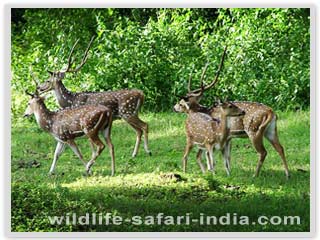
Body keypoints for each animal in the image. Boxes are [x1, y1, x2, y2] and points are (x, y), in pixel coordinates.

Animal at [182, 47, 290, 178]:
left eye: (183, 102)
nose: (175, 107)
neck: (207, 111)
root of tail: (271, 112)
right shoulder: (229, 138)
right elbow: (227, 156)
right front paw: (227, 171)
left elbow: (211, 156)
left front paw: (212, 171)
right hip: (271, 130)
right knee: (280, 148)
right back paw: (287, 174)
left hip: (253, 130)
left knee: (263, 152)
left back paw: (255, 175)